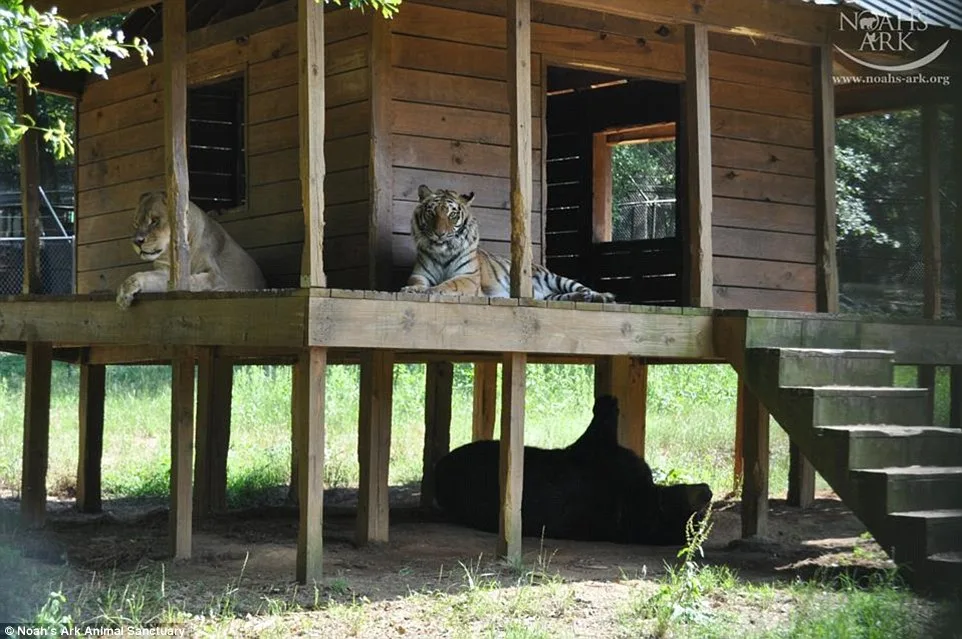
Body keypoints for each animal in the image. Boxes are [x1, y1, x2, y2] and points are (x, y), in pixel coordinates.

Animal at [115, 191, 267, 309]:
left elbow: (192, 281)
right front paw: (124, 291)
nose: (136, 241)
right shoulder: (165, 270)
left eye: (155, 220)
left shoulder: (216, 276)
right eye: (135, 224)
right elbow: (147, 276)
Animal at [401, 184, 616, 302]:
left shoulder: (468, 277)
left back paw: (601, 296)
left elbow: (447, 284)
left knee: (582, 287)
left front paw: (430, 290)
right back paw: (582, 298)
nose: (440, 233)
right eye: (432, 213)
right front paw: (413, 290)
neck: (442, 251)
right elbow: (417, 283)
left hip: (554, 278)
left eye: (452, 215)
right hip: (550, 295)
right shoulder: (419, 275)